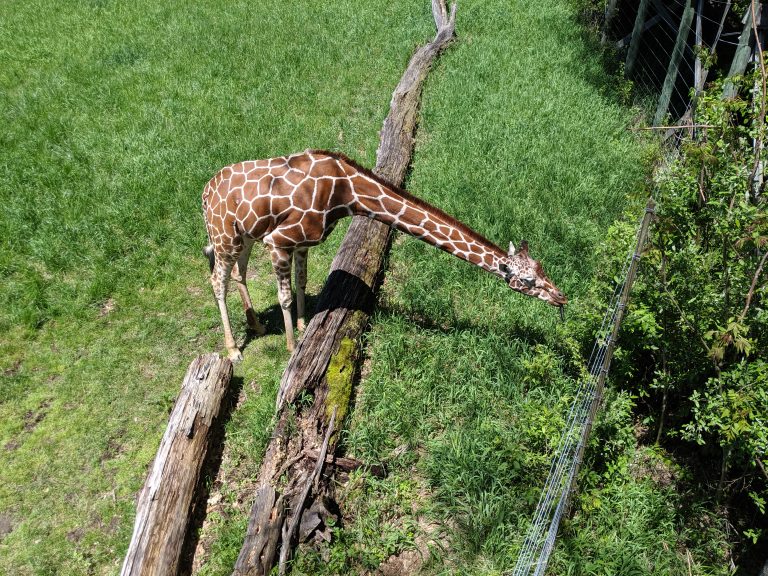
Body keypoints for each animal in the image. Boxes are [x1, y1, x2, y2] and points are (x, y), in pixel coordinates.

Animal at [201, 148, 568, 360]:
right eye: (528, 280)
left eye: (541, 267)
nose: (562, 297)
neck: (345, 194)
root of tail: (204, 194)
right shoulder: (279, 240)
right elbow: (285, 296)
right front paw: (292, 348)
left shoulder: (302, 242)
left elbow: (301, 283)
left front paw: (305, 328)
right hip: (225, 236)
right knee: (217, 280)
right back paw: (233, 351)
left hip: (244, 235)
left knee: (239, 272)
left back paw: (258, 327)